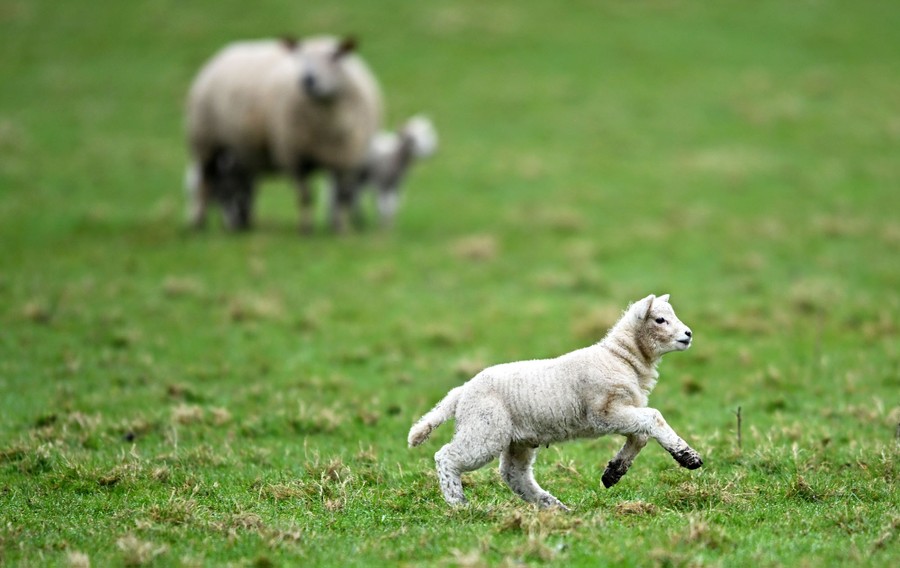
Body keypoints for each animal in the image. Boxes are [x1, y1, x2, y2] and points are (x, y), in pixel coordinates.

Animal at [184, 35, 383, 232]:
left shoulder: (346, 159)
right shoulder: (294, 157)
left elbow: (342, 196)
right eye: (301, 56)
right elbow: (305, 195)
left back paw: (243, 223)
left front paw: (340, 228)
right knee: (206, 183)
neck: (328, 121)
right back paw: (198, 222)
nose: (308, 79)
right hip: (205, 143)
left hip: (239, 152)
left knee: (237, 186)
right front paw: (306, 228)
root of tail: (224, 53)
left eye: (334, 56)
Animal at [407, 294, 702, 510]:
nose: (688, 334)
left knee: (514, 475)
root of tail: (462, 391)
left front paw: (613, 473)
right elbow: (653, 418)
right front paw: (688, 457)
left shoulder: (623, 410)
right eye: (660, 319)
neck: (622, 358)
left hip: (517, 439)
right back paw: (458, 503)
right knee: (447, 456)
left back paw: (554, 506)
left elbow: (640, 437)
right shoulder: (605, 413)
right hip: (485, 430)